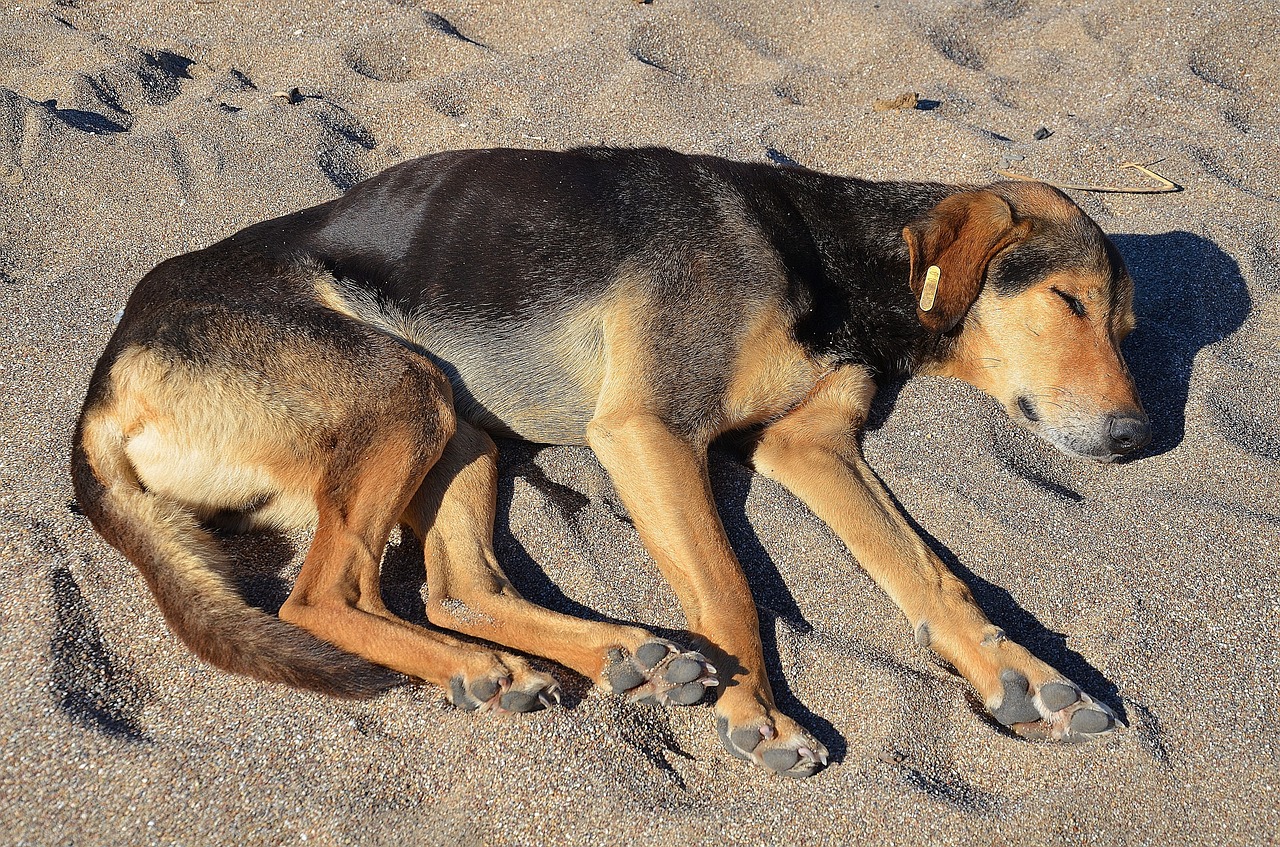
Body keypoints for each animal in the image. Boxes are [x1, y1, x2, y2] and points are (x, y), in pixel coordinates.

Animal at [72, 145, 1152, 777]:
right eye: (1066, 301)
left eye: (1126, 325)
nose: (1134, 436)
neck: (826, 250)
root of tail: (107, 380)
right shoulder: (650, 428)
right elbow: (728, 589)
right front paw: (758, 710)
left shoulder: (809, 444)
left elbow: (929, 574)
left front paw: (1016, 671)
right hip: (404, 389)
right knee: (325, 596)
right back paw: (496, 666)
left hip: (461, 425)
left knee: (457, 583)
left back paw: (601, 655)